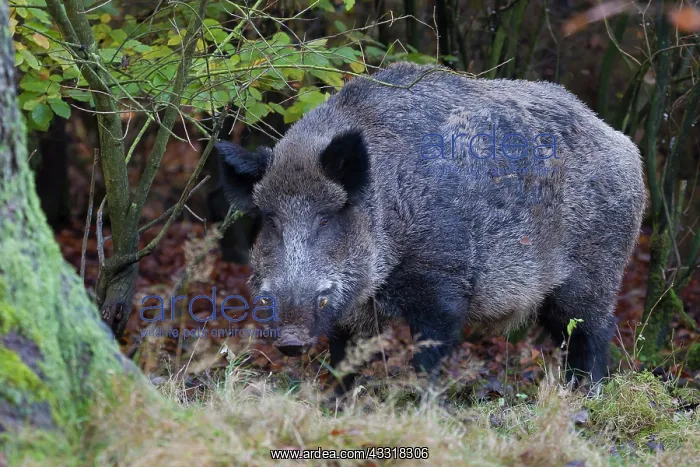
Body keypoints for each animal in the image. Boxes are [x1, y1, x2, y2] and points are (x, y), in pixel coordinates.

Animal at [216, 62, 647, 388]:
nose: (290, 338)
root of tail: (626, 146)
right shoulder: (350, 311)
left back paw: (588, 395)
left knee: (595, 333)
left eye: (326, 216)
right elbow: (343, 360)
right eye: (270, 220)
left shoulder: (442, 279)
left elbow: (430, 353)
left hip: (594, 271)